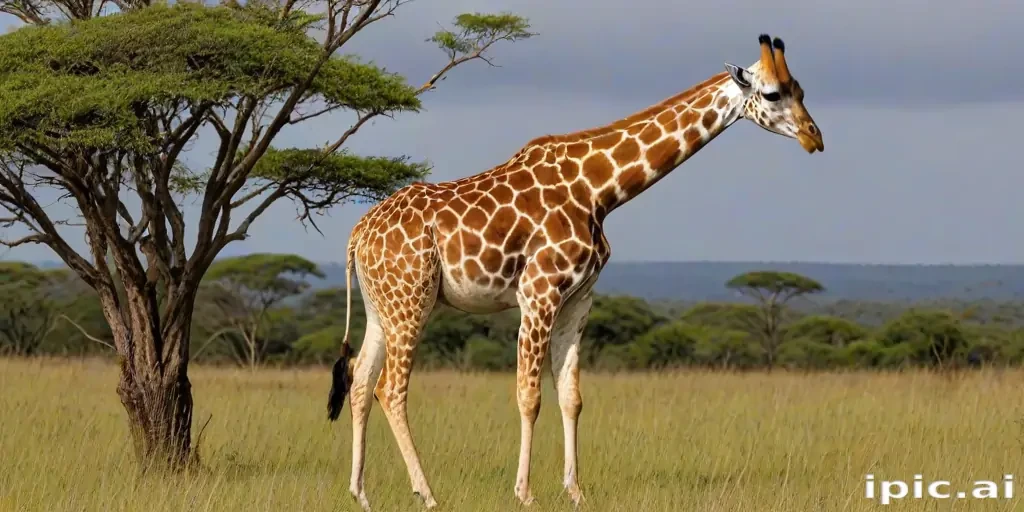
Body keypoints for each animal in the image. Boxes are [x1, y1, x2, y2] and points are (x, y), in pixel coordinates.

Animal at [326, 34, 823, 511]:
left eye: (801, 90)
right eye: (773, 93)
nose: (814, 137)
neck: (599, 189)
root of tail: (357, 234)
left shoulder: (579, 299)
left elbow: (572, 396)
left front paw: (576, 492)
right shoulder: (538, 292)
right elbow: (529, 396)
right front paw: (525, 493)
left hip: (382, 305)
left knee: (361, 381)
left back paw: (360, 494)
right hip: (412, 301)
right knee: (391, 388)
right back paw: (426, 493)